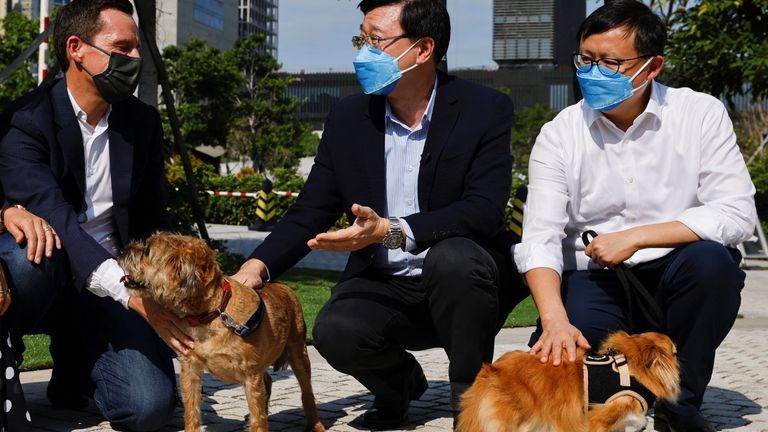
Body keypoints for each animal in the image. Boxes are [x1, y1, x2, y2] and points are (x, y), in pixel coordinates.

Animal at [119, 233, 324, 432]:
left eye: (147, 250)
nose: (122, 250)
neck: (213, 314)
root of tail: (285, 287)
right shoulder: (190, 368)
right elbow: (191, 411)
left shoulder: (251, 375)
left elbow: (259, 419)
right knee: (268, 381)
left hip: (298, 353)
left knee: (307, 392)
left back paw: (316, 425)